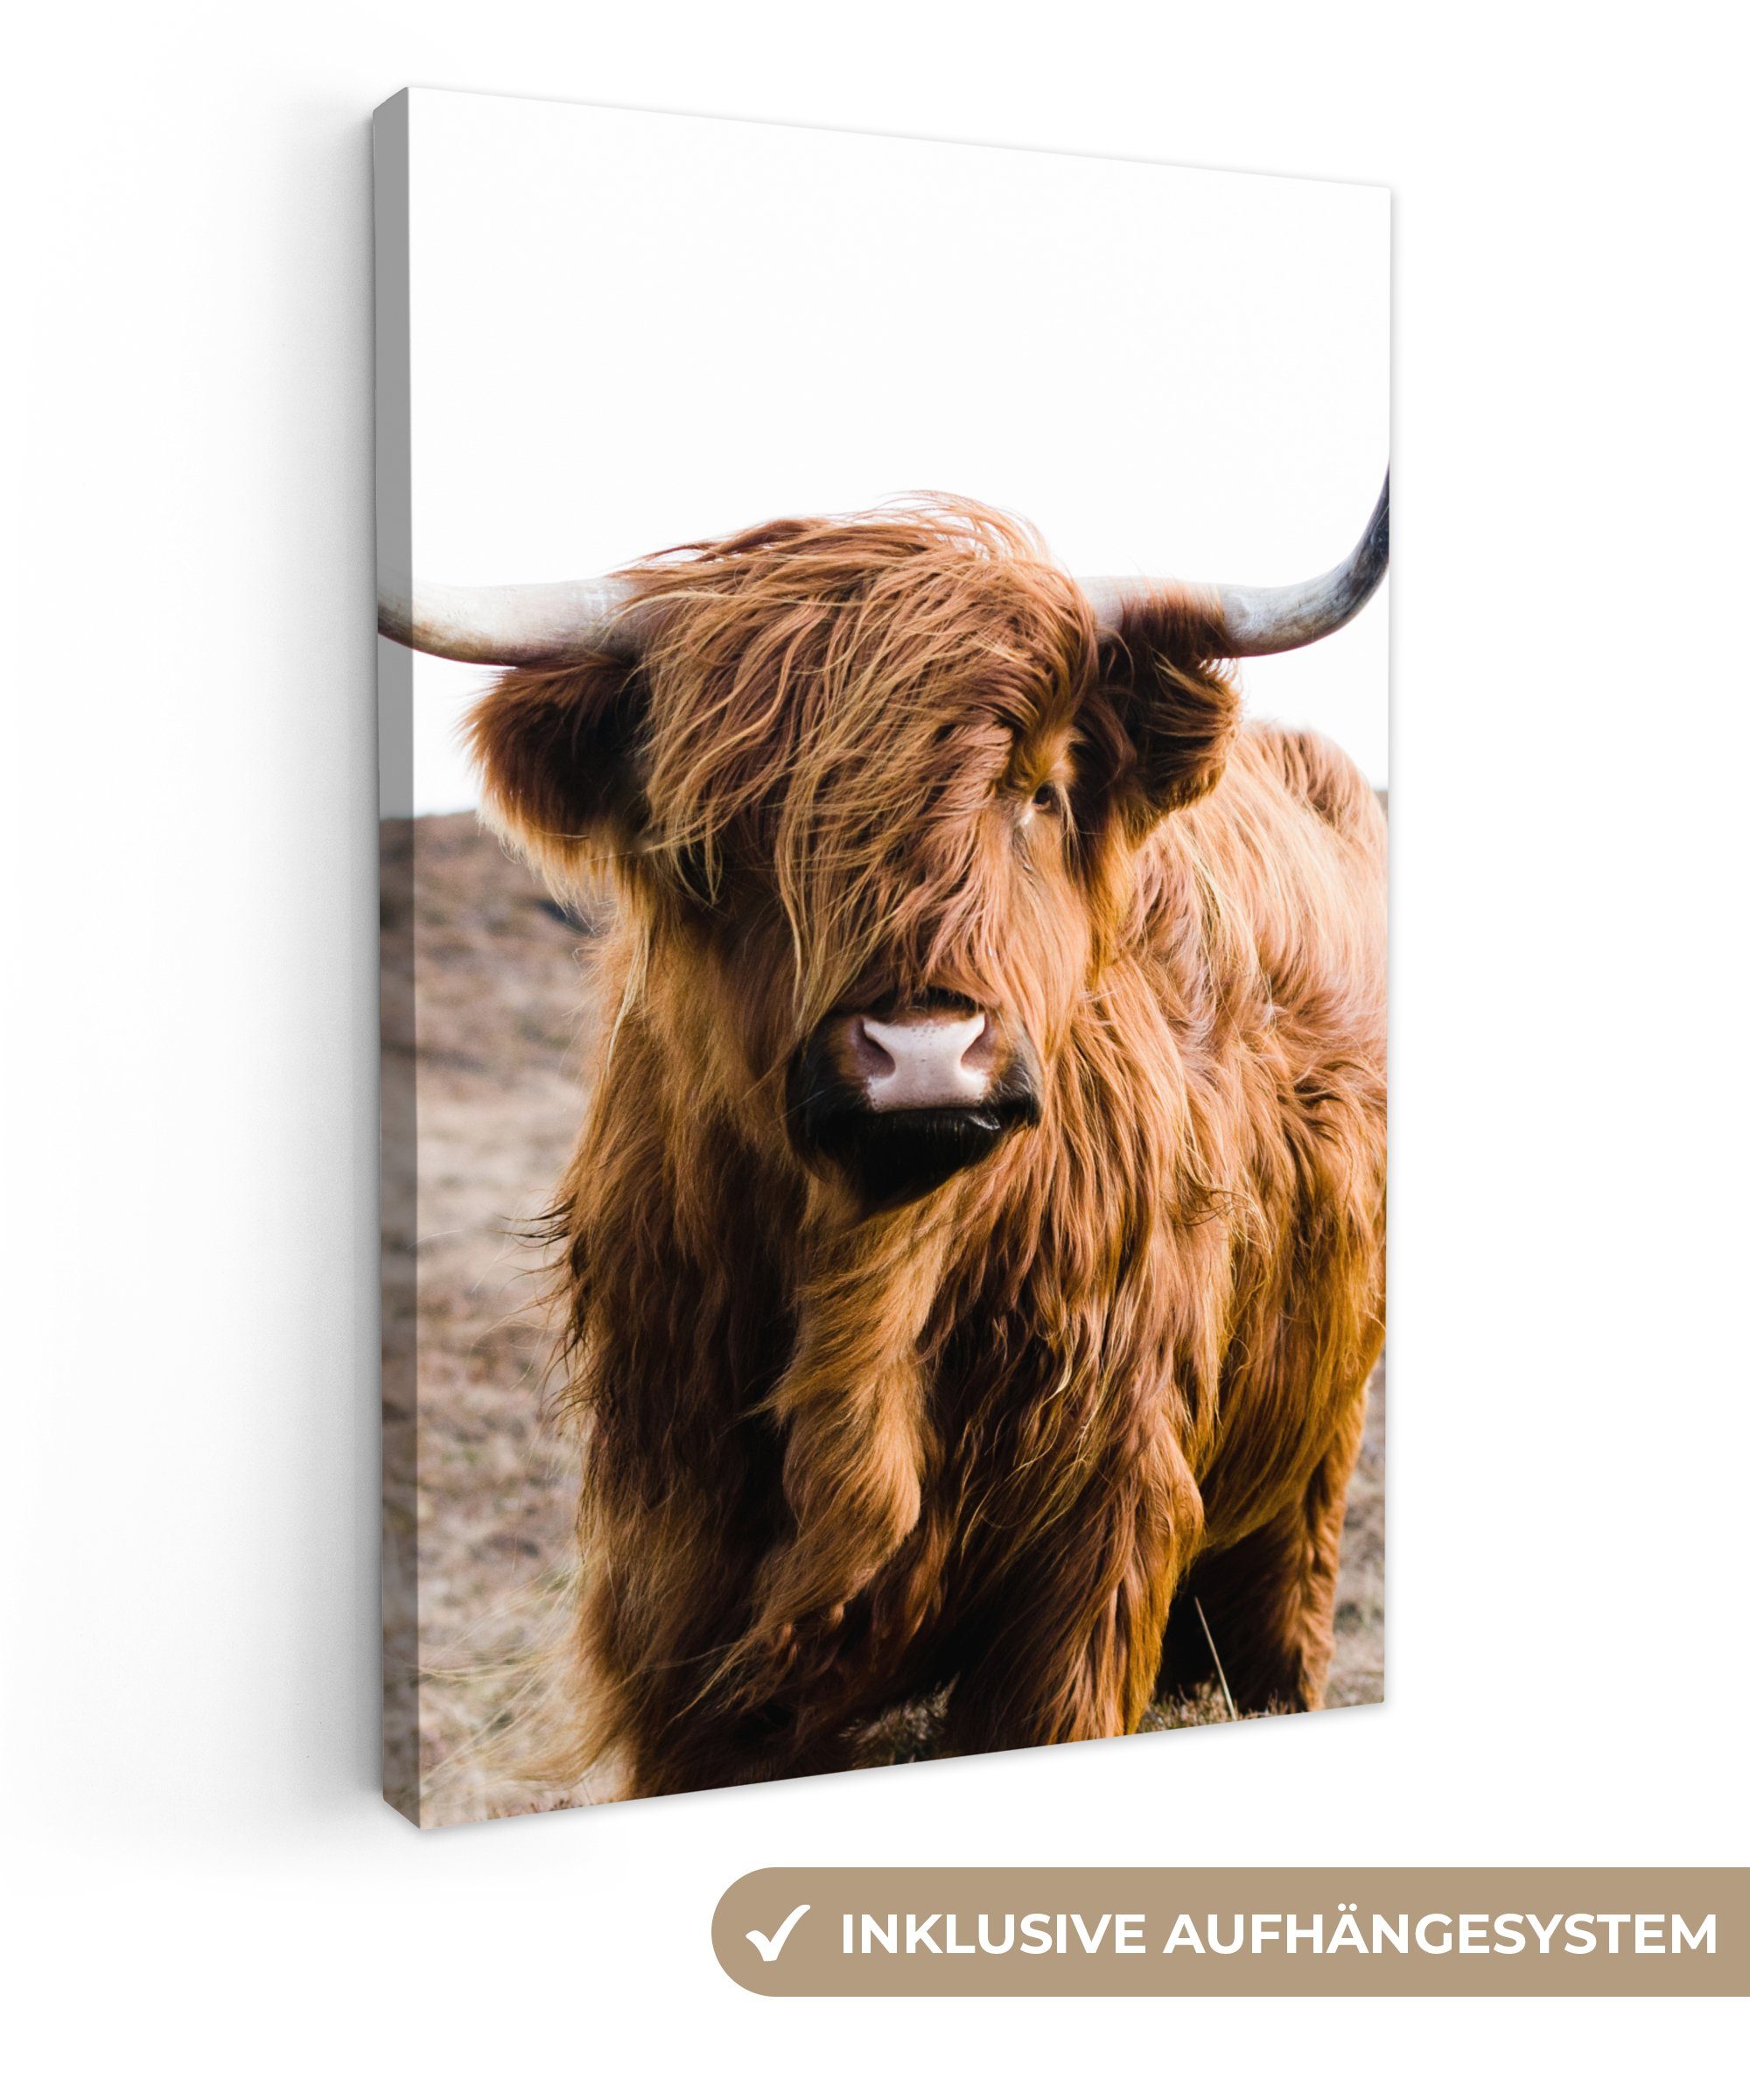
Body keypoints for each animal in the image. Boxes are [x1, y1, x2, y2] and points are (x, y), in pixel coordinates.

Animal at [380, 478, 1389, 1799]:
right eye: (718, 832)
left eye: (1039, 790)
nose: (921, 1052)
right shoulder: (682, 1568)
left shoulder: (1093, 1544)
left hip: (1311, 1462)